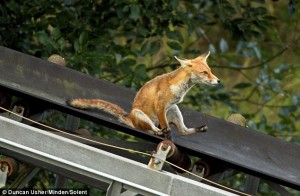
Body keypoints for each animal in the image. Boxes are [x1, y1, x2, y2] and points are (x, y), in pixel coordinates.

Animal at [67, 51, 219, 136]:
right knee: (150, 129)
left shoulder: (167, 107)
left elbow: (172, 128)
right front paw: (167, 136)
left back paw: (199, 129)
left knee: (183, 131)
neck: (180, 87)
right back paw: (158, 132)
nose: (218, 80)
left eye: (210, 71)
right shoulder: (160, 106)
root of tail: (129, 117)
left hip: (174, 109)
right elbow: (166, 128)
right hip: (141, 114)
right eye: (204, 72)